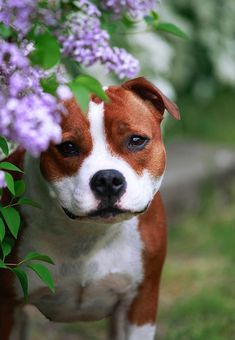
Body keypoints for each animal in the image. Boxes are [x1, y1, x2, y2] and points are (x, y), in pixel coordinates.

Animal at [0, 77, 180, 340]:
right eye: (67, 147)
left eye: (136, 140)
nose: (107, 179)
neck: (88, 233)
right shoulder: (7, 306)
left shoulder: (141, 302)